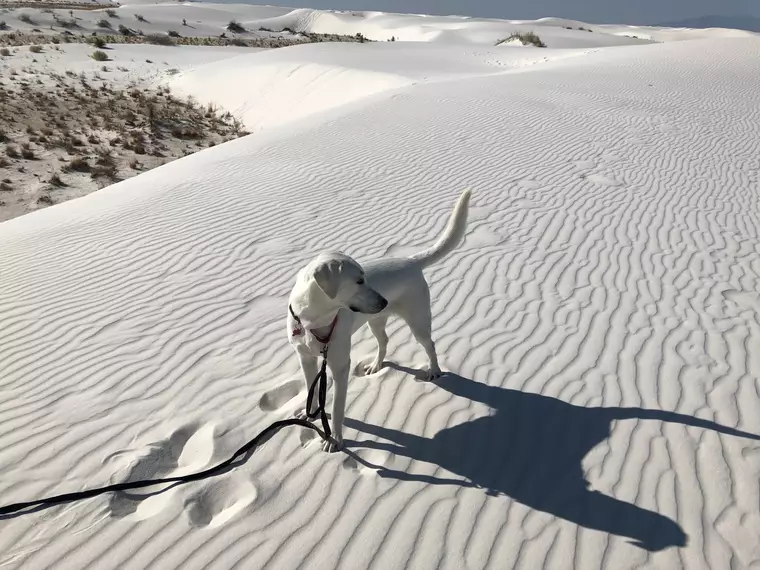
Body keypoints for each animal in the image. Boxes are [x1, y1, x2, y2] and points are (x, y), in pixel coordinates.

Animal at [288, 189, 472, 450]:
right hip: (375, 321)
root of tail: (411, 261)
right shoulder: (305, 358)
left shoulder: (340, 366)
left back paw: (434, 371)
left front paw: (335, 439)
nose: (384, 301)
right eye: (359, 281)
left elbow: (337, 407)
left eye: (365, 277)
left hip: (418, 321)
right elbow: (310, 390)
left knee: (429, 345)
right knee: (384, 341)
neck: (313, 321)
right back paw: (376, 365)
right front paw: (309, 413)